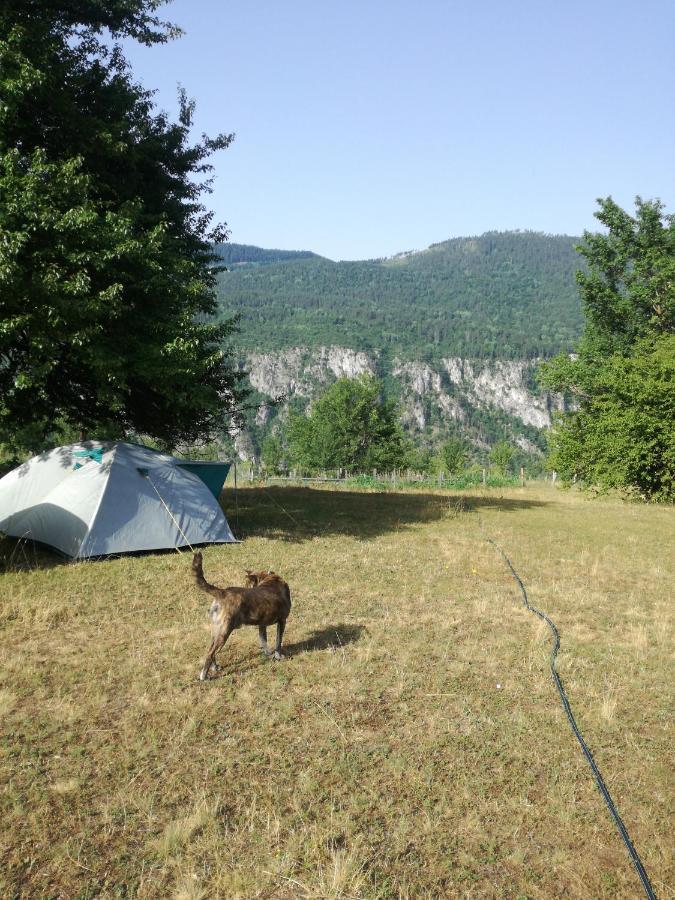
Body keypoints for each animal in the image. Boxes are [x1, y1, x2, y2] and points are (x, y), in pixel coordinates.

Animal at [193, 552, 294, 680]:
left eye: (247, 584)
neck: (270, 578)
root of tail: (223, 592)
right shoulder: (282, 621)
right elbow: (278, 641)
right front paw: (278, 656)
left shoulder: (262, 625)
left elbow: (264, 642)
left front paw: (269, 655)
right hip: (223, 633)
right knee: (210, 654)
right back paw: (204, 676)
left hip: (216, 631)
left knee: (210, 650)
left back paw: (215, 667)